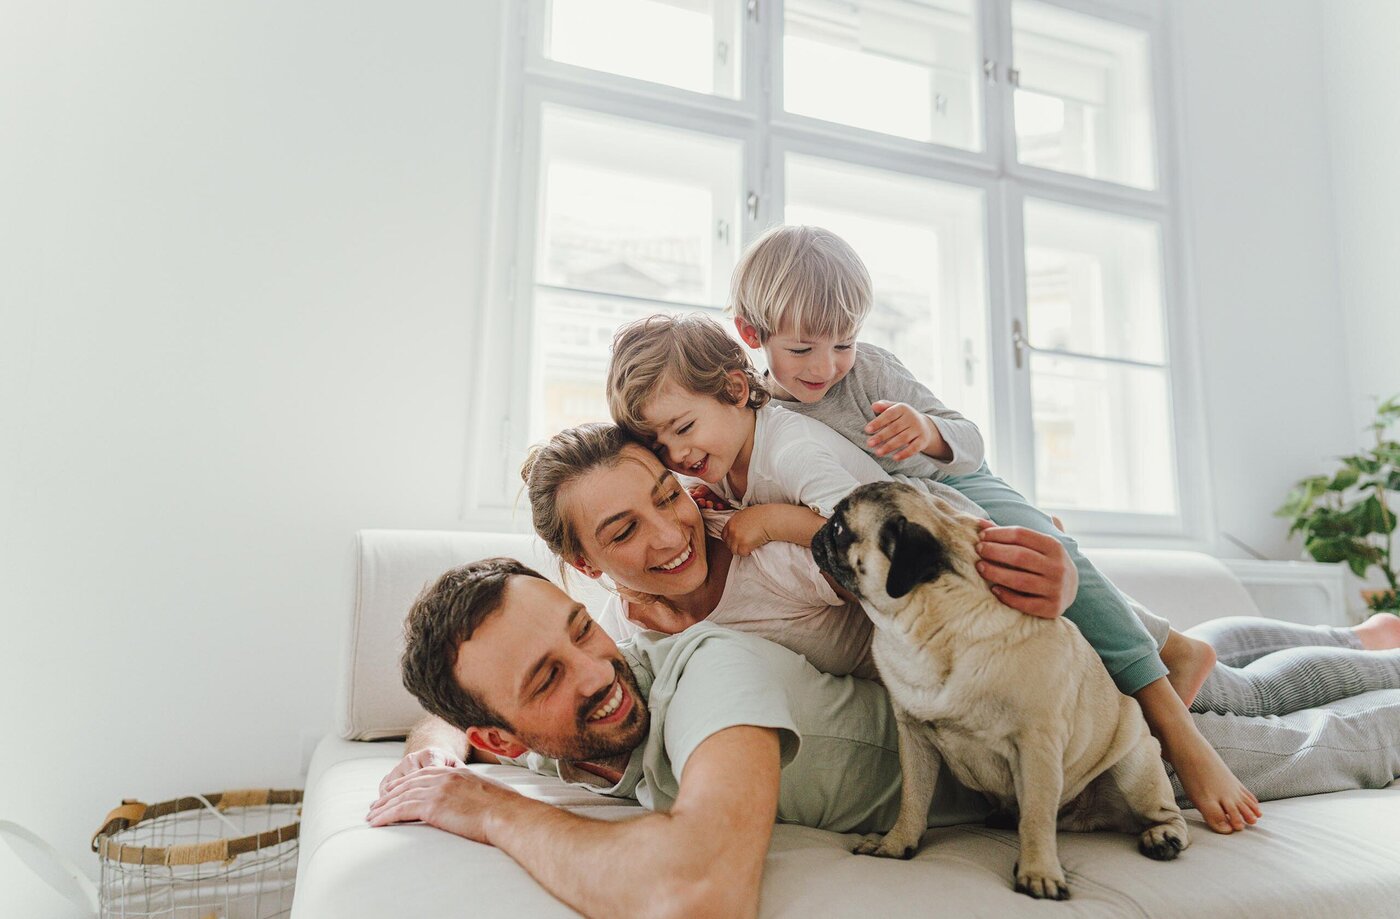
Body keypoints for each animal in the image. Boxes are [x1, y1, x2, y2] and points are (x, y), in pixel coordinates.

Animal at [812, 484, 1192, 902]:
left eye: (840, 527)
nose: (819, 530)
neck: (929, 627)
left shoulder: (1037, 745)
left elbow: (1037, 818)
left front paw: (1039, 872)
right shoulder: (914, 739)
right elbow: (913, 799)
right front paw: (896, 844)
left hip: (1135, 767)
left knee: (1165, 813)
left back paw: (1164, 836)